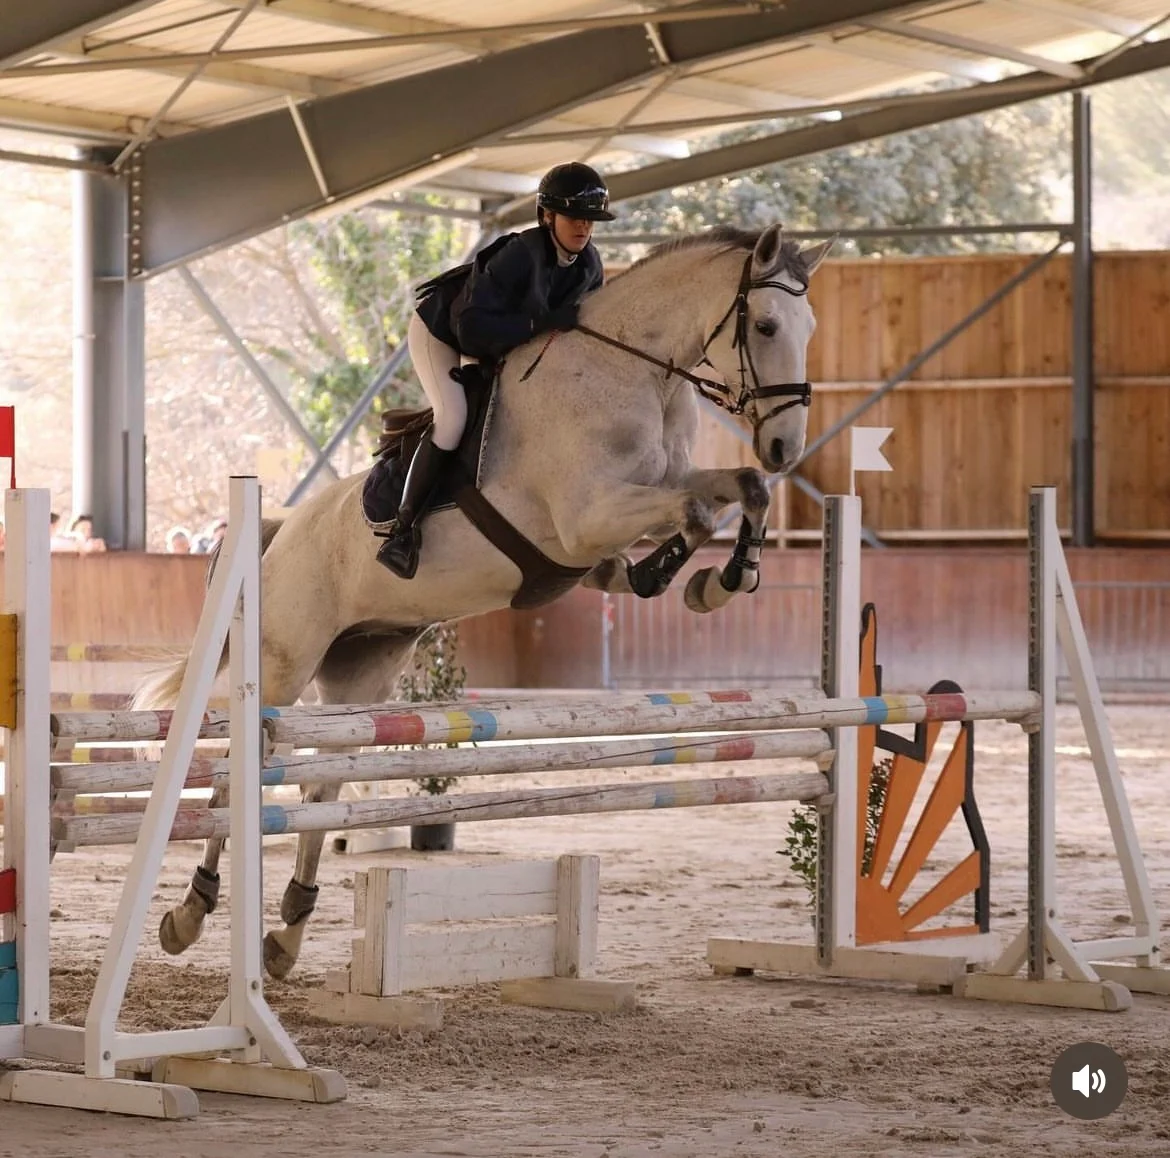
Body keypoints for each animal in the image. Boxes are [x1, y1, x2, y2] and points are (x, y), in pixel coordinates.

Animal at [135, 223, 833, 979]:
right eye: (765, 326)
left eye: (809, 328)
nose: (784, 447)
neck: (634, 374)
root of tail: (276, 531)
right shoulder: (589, 517)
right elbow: (698, 512)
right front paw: (689, 577)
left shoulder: (661, 488)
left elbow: (738, 491)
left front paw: (719, 580)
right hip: (283, 660)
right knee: (236, 771)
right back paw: (190, 911)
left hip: (360, 671)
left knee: (321, 789)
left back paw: (286, 932)